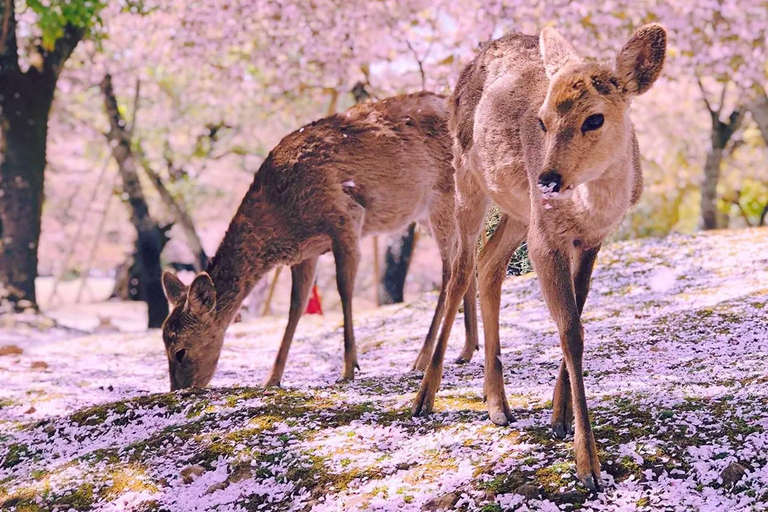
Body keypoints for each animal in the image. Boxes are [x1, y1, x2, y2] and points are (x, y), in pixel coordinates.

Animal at [160, 92, 480, 392]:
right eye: (164, 343)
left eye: (180, 351)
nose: (180, 390)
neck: (283, 217)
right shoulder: (306, 252)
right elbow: (296, 306)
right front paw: (271, 378)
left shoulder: (346, 215)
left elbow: (344, 288)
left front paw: (348, 368)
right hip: (431, 212)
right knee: (468, 257)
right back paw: (467, 349)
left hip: (442, 197)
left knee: (450, 268)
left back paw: (422, 358)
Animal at [410, 25, 667, 492]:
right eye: (542, 120)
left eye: (595, 118)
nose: (548, 178)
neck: (589, 210)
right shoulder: (546, 239)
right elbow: (570, 330)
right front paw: (589, 466)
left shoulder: (590, 240)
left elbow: (576, 319)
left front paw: (559, 418)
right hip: (467, 179)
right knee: (460, 270)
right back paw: (424, 398)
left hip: (517, 210)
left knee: (489, 263)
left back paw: (497, 404)